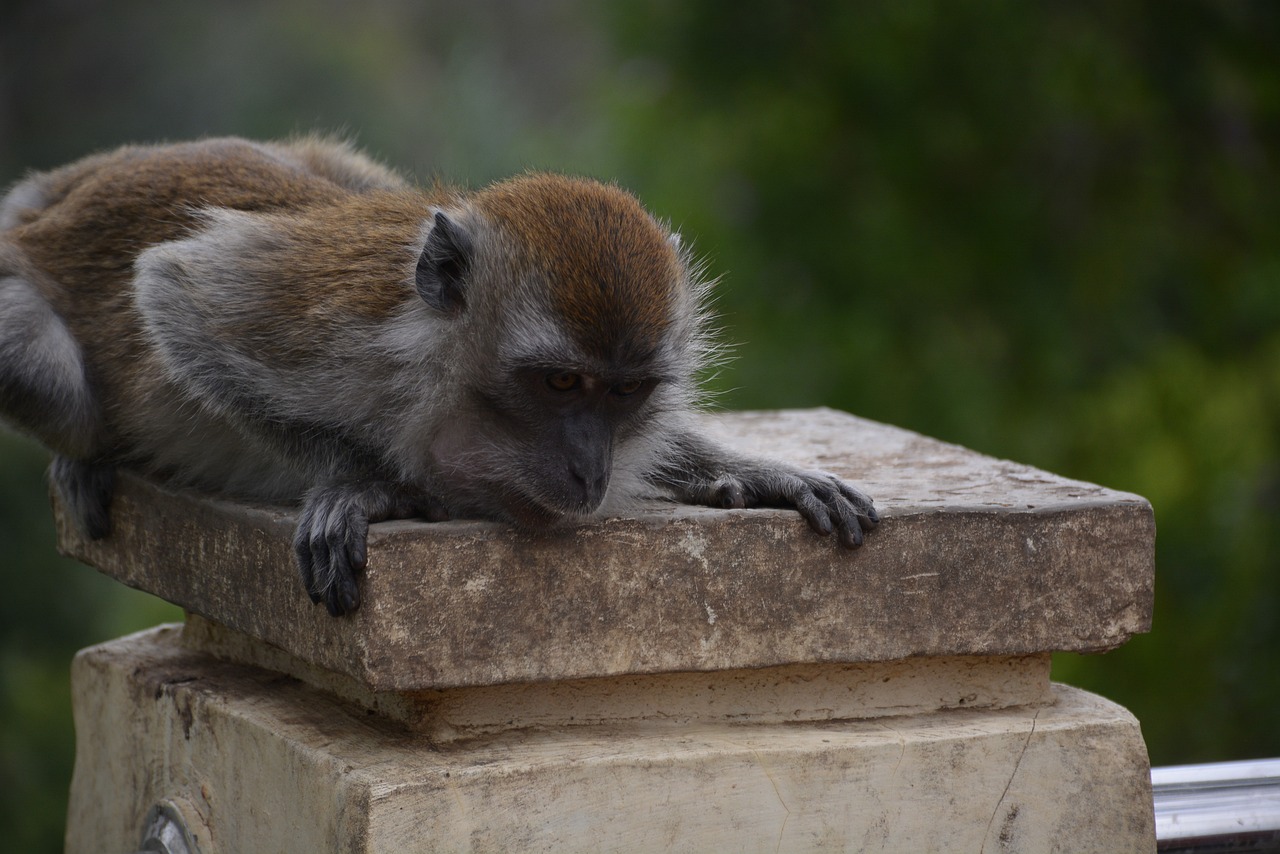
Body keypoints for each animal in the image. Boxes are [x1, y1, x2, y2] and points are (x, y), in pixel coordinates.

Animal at [0, 135, 880, 614]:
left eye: (625, 392)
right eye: (561, 384)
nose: (590, 467)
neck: (444, 363)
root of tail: (49, 204)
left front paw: (755, 473)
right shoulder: (330, 326)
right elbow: (172, 290)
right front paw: (371, 486)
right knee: (44, 373)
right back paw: (86, 453)